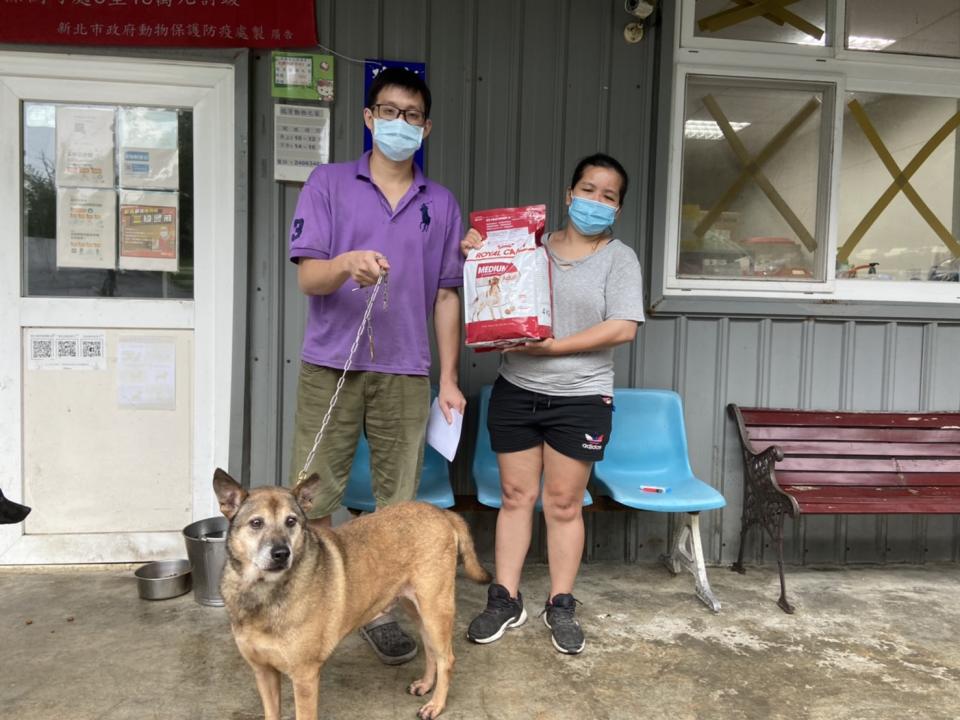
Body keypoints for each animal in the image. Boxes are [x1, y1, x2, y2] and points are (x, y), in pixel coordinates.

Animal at [214, 470, 492, 720]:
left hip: (435, 609)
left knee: (447, 658)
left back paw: (436, 704)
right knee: (431, 648)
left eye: (291, 521)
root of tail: (442, 512)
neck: (262, 592)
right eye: (256, 523)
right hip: (416, 606)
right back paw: (425, 685)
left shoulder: (305, 678)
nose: (282, 554)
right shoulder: (263, 672)